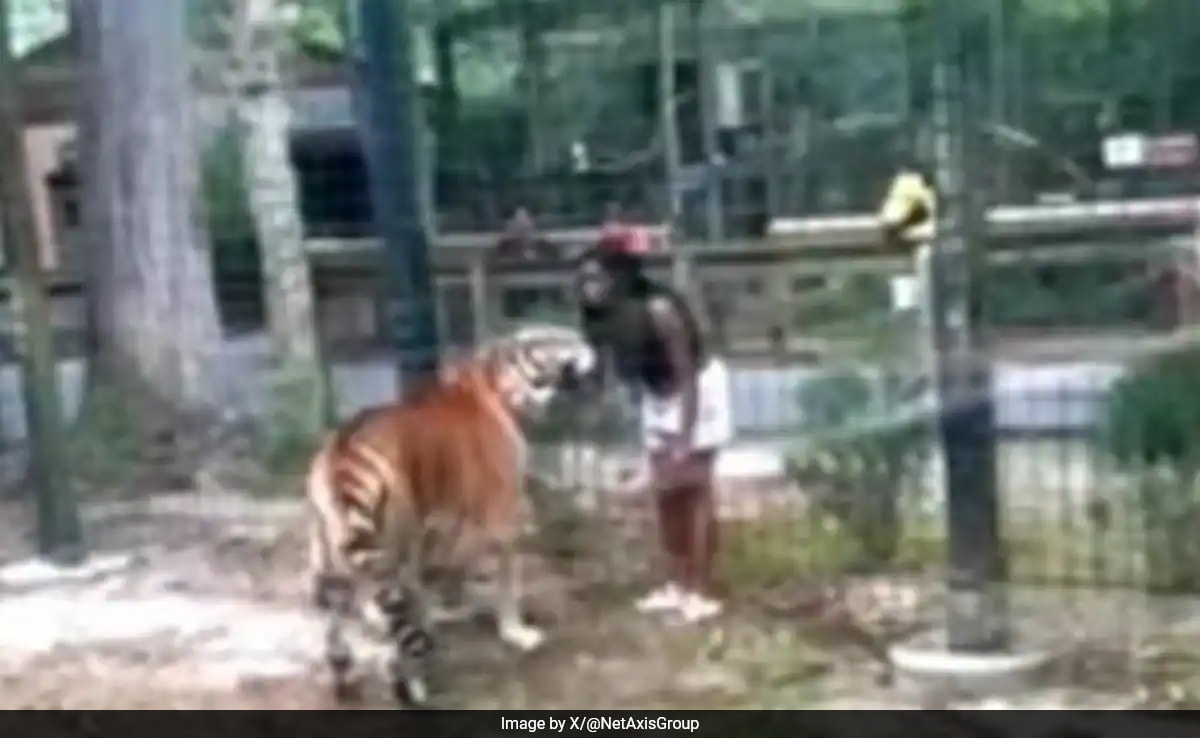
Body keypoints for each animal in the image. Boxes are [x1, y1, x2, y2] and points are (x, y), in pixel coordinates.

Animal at [304, 324, 595, 705]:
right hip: (395, 538)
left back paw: (346, 672)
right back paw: (413, 680)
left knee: (342, 616)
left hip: (334, 551)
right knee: (397, 610)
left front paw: (450, 606)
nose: (590, 347)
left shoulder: (445, 521)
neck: (500, 381)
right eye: (558, 339)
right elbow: (504, 581)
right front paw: (516, 632)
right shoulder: (502, 518)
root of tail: (343, 449)